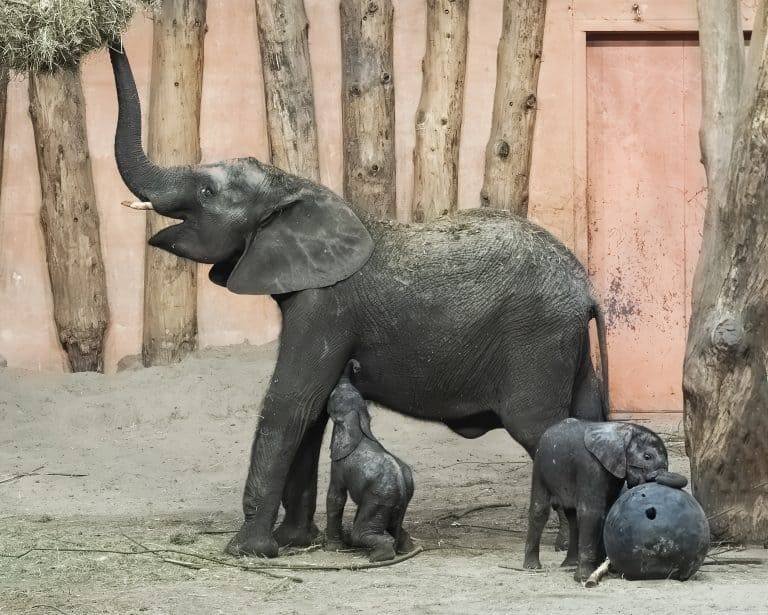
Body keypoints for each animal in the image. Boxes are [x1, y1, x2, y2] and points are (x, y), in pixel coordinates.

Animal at [324, 360, 414, 564]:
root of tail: (403, 487)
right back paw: (407, 549)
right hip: (394, 504)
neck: (358, 418)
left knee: (361, 533)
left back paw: (379, 556)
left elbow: (336, 496)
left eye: (333, 396)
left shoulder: (339, 463)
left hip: (380, 499)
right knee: (394, 528)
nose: (355, 365)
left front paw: (332, 547)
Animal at [524, 418, 668, 584]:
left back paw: (570, 565)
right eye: (647, 457)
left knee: (572, 516)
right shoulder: (591, 466)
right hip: (540, 465)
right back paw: (532, 567)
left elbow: (607, 510)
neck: (622, 430)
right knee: (539, 510)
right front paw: (584, 578)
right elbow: (592, 513)